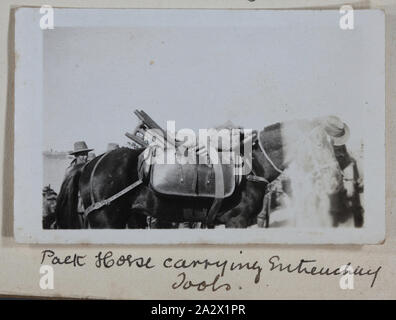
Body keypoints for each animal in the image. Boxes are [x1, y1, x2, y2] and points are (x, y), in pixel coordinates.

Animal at [55, 119, 344, 229]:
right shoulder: (237, 221)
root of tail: (90, 164)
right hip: (106, 220)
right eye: (320, 145)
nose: (337, 180)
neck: (253, 166)